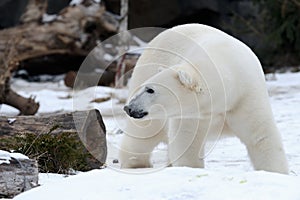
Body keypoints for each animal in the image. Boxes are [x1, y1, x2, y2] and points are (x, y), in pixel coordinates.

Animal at [118, 23, 290, 173]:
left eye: (150, 90)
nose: (129, 107)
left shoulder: (245, 96)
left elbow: (261, 136)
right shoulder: (193, 113)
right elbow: (187, 143)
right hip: (146, 69)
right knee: (144, 132)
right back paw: (136, 163)